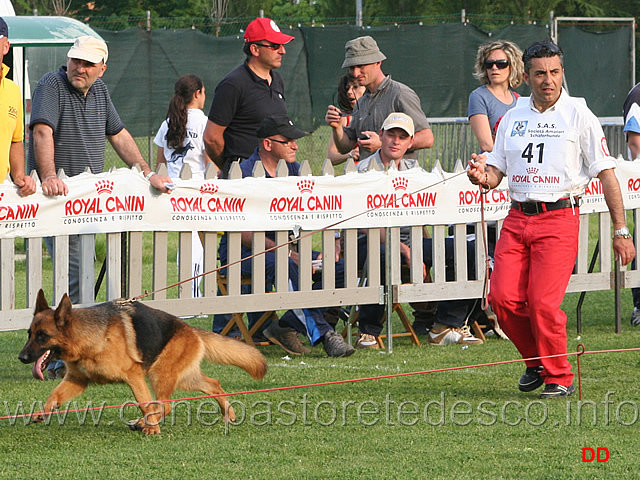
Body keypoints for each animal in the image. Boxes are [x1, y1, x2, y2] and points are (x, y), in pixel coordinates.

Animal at [18, 288, 268, 436]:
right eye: (29, 334)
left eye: (42, 336)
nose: (21, 357)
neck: (88, 338)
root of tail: (190, 329)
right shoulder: (77, 381)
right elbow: (54, 395)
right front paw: (43, 412)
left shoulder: (134, 376)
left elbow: (146, 404)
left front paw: (152, 428)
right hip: (184, 377)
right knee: (213, 384)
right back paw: (229, 413)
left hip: (159, 374)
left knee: (165, 404)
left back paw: (145, 423)